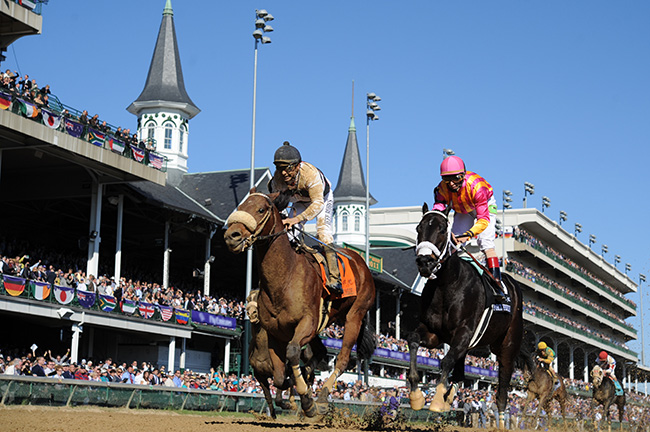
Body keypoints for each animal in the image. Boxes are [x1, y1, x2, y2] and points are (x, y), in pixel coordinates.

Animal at [223, 192, 374, 418]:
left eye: (261, 209)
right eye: (240, 206)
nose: (231, 235)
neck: (284, 278)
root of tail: (361, 262)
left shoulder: (307, 322)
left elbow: (293, 352)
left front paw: (307, 400)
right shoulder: (275, 334)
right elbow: (279, 377)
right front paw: (294, 392)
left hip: (354, 315)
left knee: (342, 359)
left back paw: (321, 399)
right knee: (319, 353)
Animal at [404, 204, 520, 426]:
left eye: (442, 229)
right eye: (418, 228)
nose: (424, 262)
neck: (446, 284)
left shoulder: (464, 332)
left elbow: (446, 361)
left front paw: (437, 400)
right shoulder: (434, 333)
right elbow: (413, 339)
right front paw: (416, 395)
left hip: (507, 345)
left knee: (502, 389)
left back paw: (501, 421)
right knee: (459, 371)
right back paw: (450, 396)